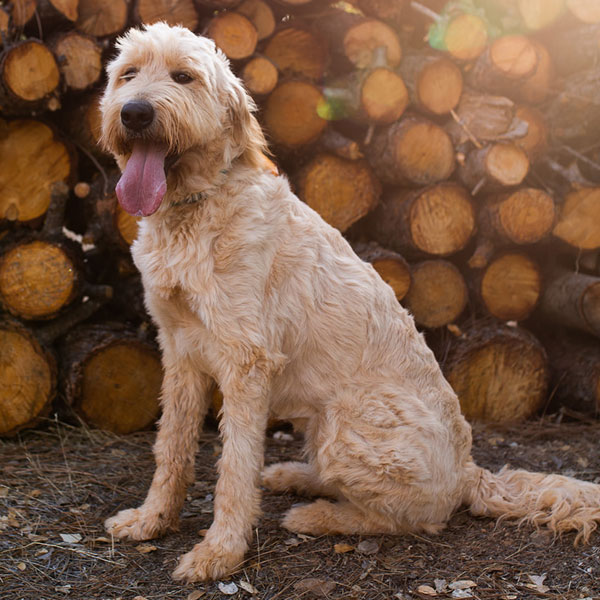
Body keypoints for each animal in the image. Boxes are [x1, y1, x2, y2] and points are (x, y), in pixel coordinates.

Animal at [101, 23, 600, 580]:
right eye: (128, 74)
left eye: (183, 77)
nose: (135, 113)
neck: (196, 206)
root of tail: (467, 473)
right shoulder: (181, 352)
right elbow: (171, 447)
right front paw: (151, 520)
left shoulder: (247, 364)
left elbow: (234, 467)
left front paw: (220, 552)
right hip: (320, 422)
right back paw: (293, 475)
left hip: (351, 423)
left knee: (411, 518)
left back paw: (316, 515)